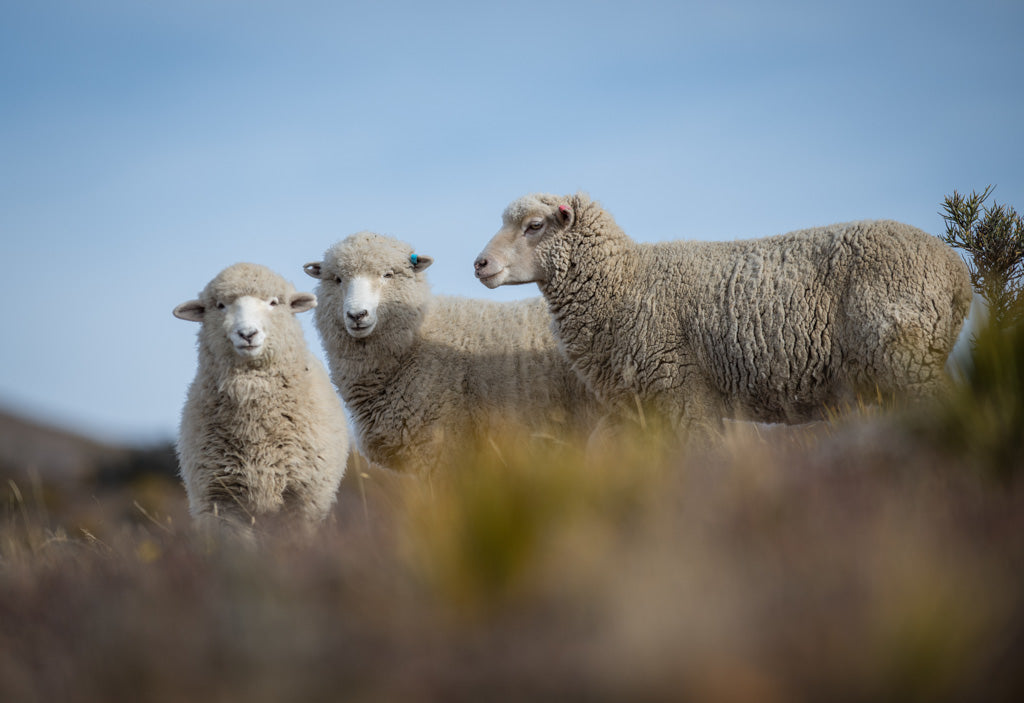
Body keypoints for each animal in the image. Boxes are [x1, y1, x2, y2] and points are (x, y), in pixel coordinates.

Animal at [475, 193, 970, 433]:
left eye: (534, 226)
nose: (479, 264)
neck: (625, 282)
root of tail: (957, 272)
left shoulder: (681, 391)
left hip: (907, 359)